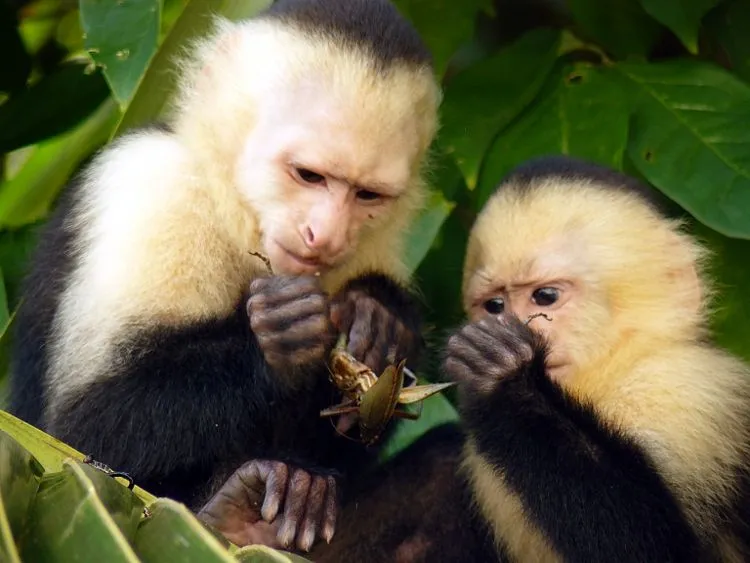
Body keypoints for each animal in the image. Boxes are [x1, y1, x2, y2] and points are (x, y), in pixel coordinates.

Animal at [8, 0, 444, 552]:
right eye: (308, 175)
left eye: (367, 195)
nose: (323, 236)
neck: (236, 212)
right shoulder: (152, 189)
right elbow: (74, 438)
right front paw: (277, 347)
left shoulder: (379, 245)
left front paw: (381, 315)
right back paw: (230, 510)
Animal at [207, 153, 750, 560]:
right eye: (494, 305)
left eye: (545, 297)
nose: (507, 325)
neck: (601, 383)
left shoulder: (687, 398)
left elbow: (656, 550)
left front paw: (505, 378)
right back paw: (242, 521)